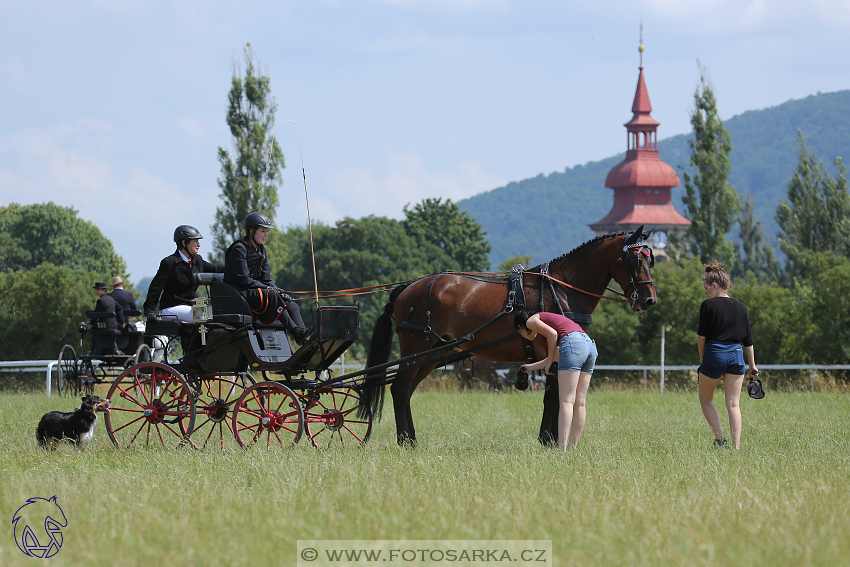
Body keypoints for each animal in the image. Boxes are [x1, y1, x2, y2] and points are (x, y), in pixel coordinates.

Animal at [358, 227, 656, 448]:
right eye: (635, 260)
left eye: (649, 258)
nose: (649, 300)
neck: (561, 289)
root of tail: (408, 288)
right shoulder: (556, 352)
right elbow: (553, 397)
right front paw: (549, 441)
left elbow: (552, 396)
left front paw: (546, 439)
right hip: (416, 348)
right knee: (399, 389)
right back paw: (406, 442)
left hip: (432, 354)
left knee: (406, 390)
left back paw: (410, 439)